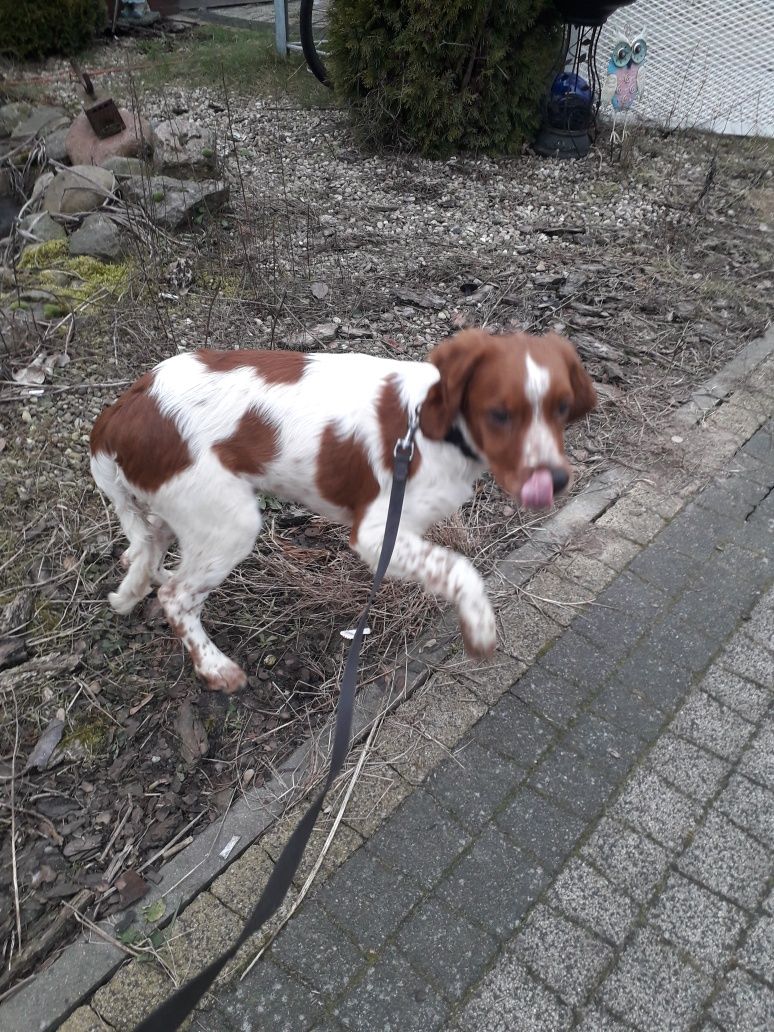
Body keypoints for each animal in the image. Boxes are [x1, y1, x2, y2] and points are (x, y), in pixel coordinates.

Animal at [92, 326, 598, 689]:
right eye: (498, 414)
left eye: (561, 407)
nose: (556, 481)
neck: (434, 427)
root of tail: (122, 409)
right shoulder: (377, 533)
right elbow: (461, 567)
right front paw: (479, 628)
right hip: (229, 520)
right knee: (177, 597)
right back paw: (216, 668)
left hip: (187, 504)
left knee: (150, 539)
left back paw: (137, 580)